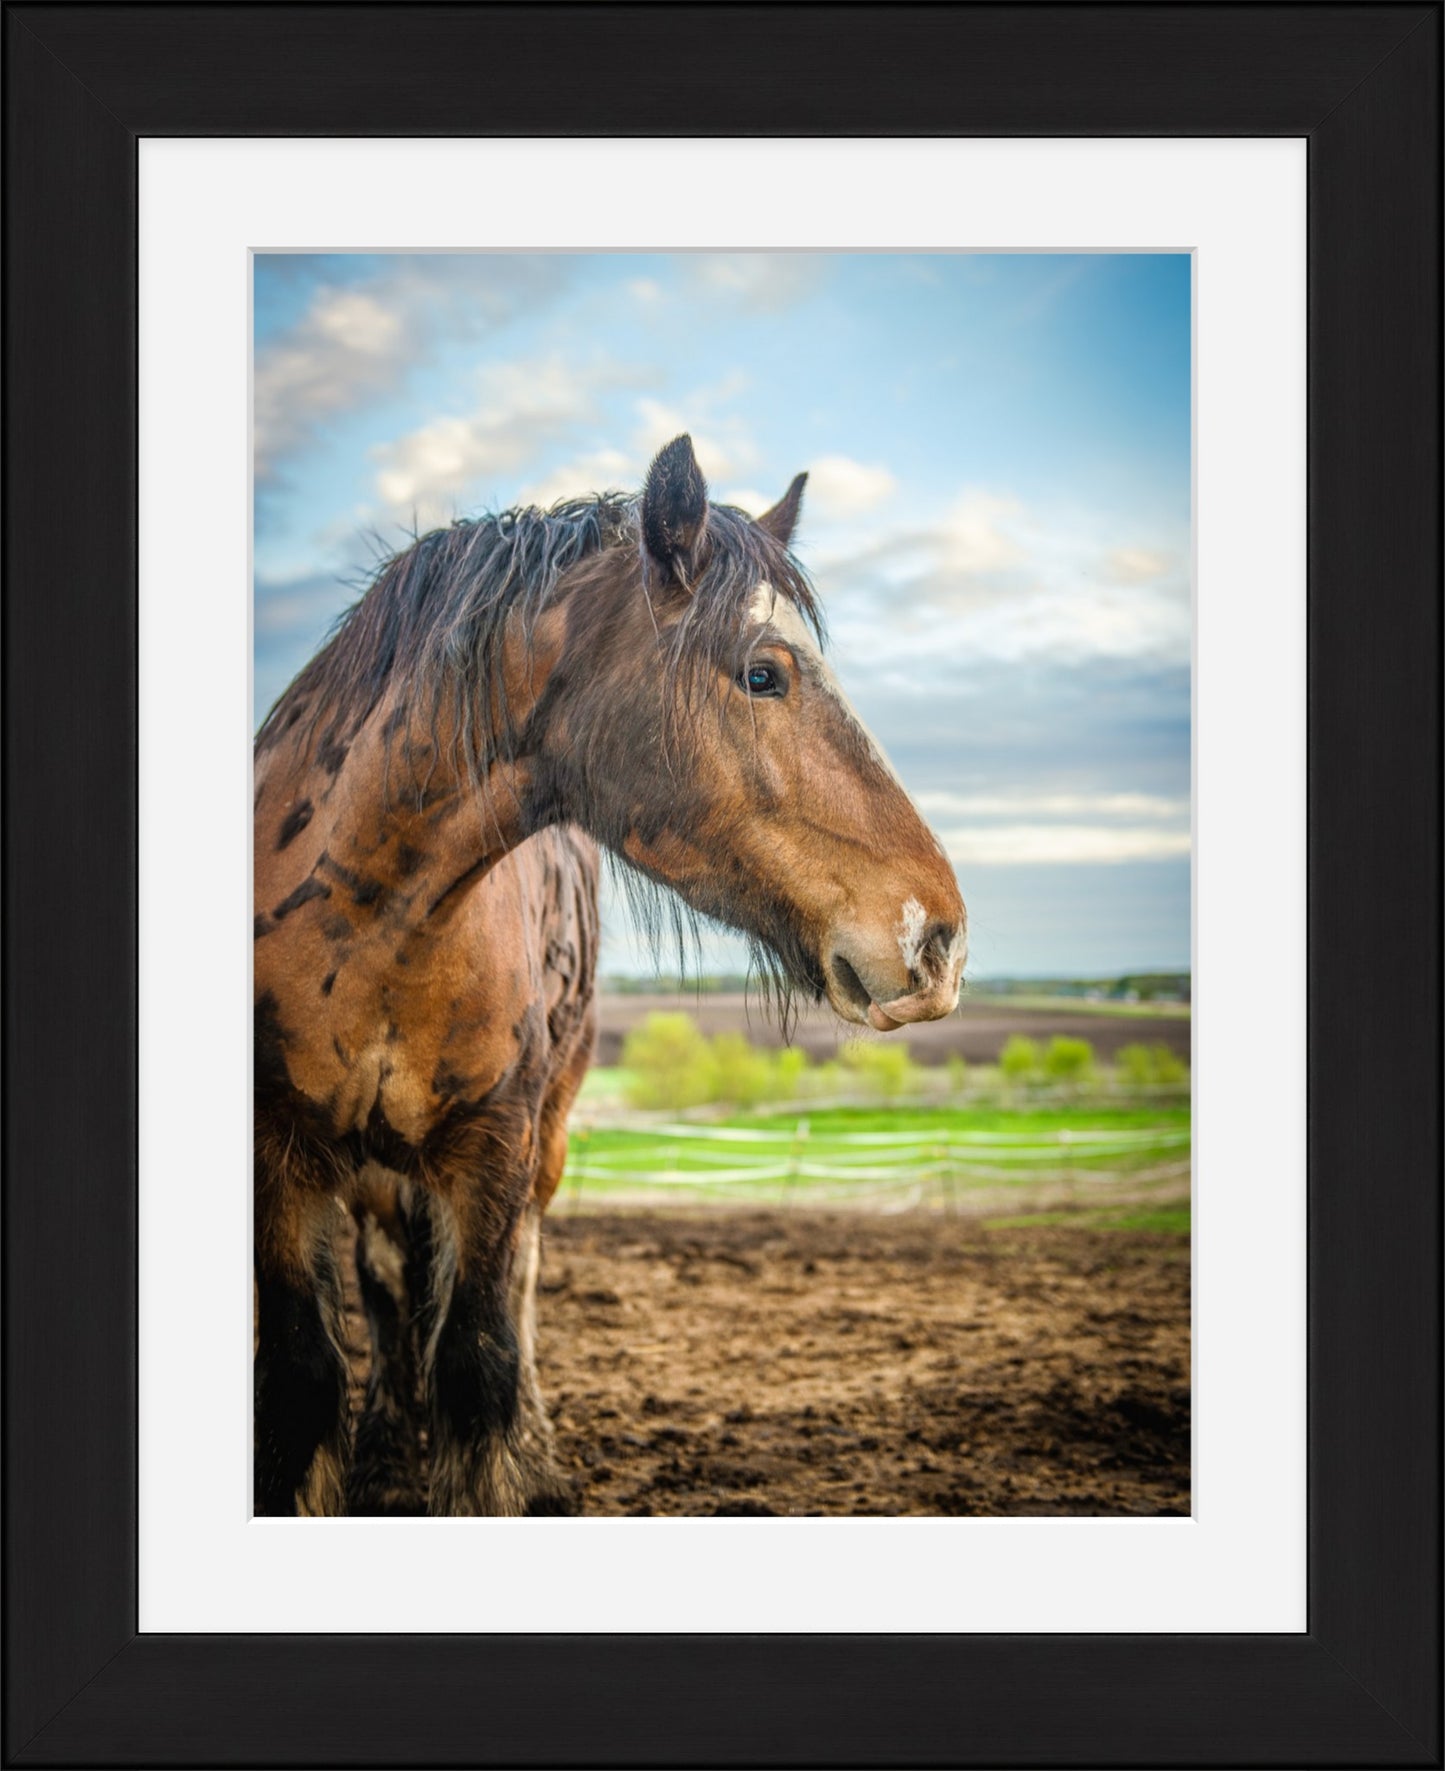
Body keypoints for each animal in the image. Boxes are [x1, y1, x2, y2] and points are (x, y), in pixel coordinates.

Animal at [253, 435, 963, 1515]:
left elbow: (479, 1365)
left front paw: (509, 1465)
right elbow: (306, 1385)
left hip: (536, 1144)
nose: (940, 937)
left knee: (508, 1295)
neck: (368, 921)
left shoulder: (492, 1149)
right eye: (764, 673)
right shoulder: (281, 1161)